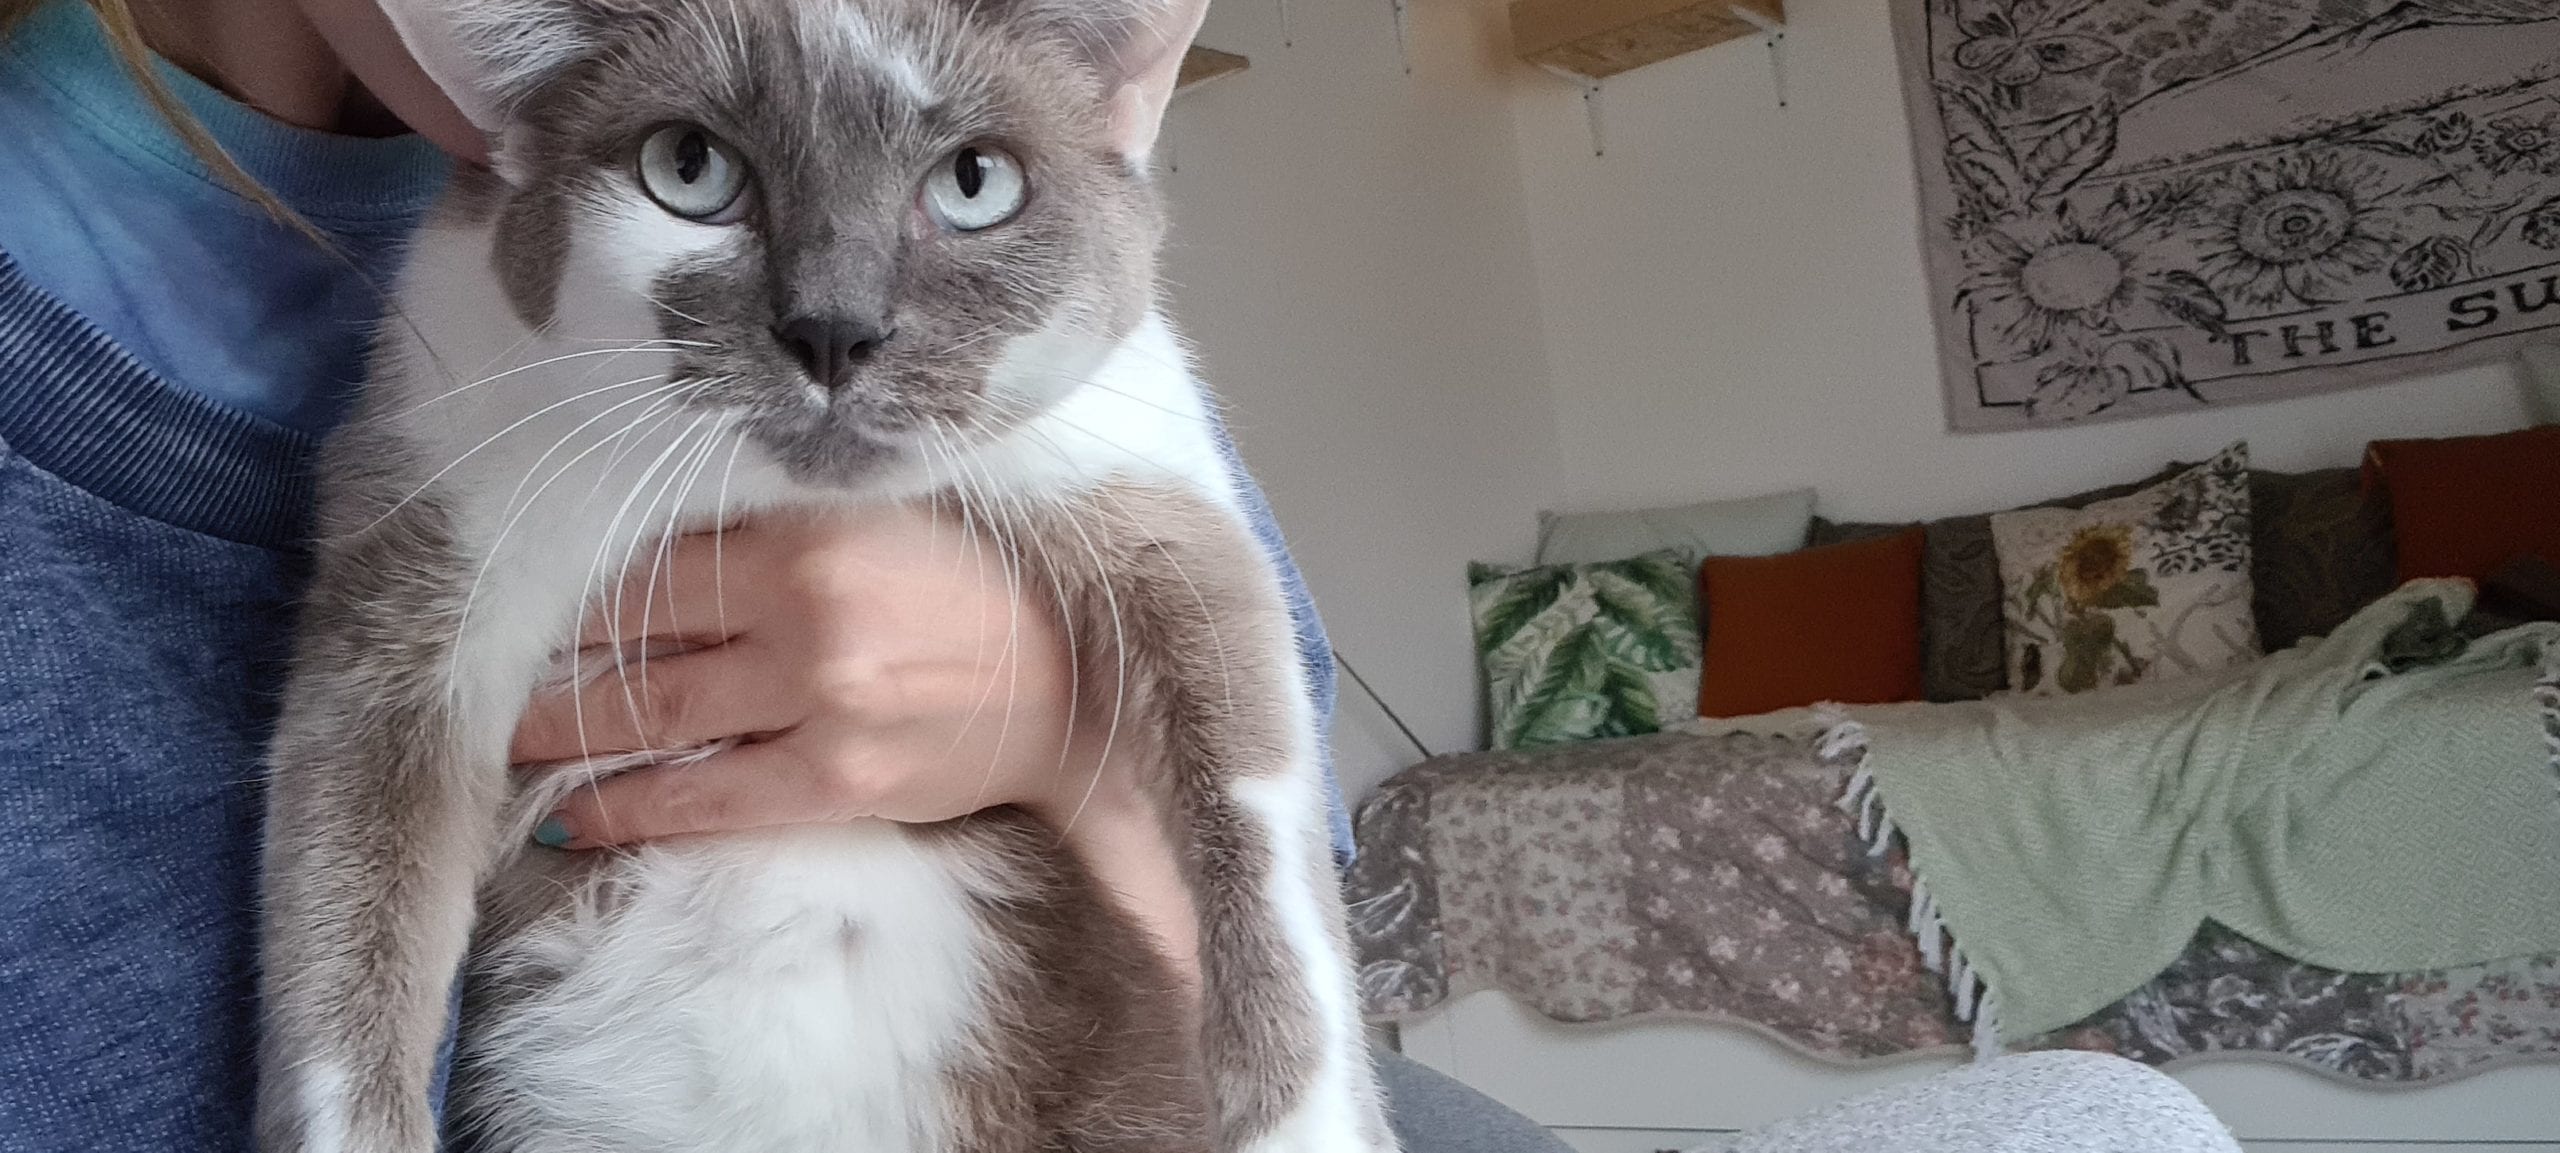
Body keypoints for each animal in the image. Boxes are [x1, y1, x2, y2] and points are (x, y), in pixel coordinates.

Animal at [247, 2, 1392, 1153]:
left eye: (974, 182)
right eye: (689, 168)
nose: (835, 330)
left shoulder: (1151, 496)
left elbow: (1254, 806)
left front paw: (1304, 1119)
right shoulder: (426, 527)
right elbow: (353, 911)